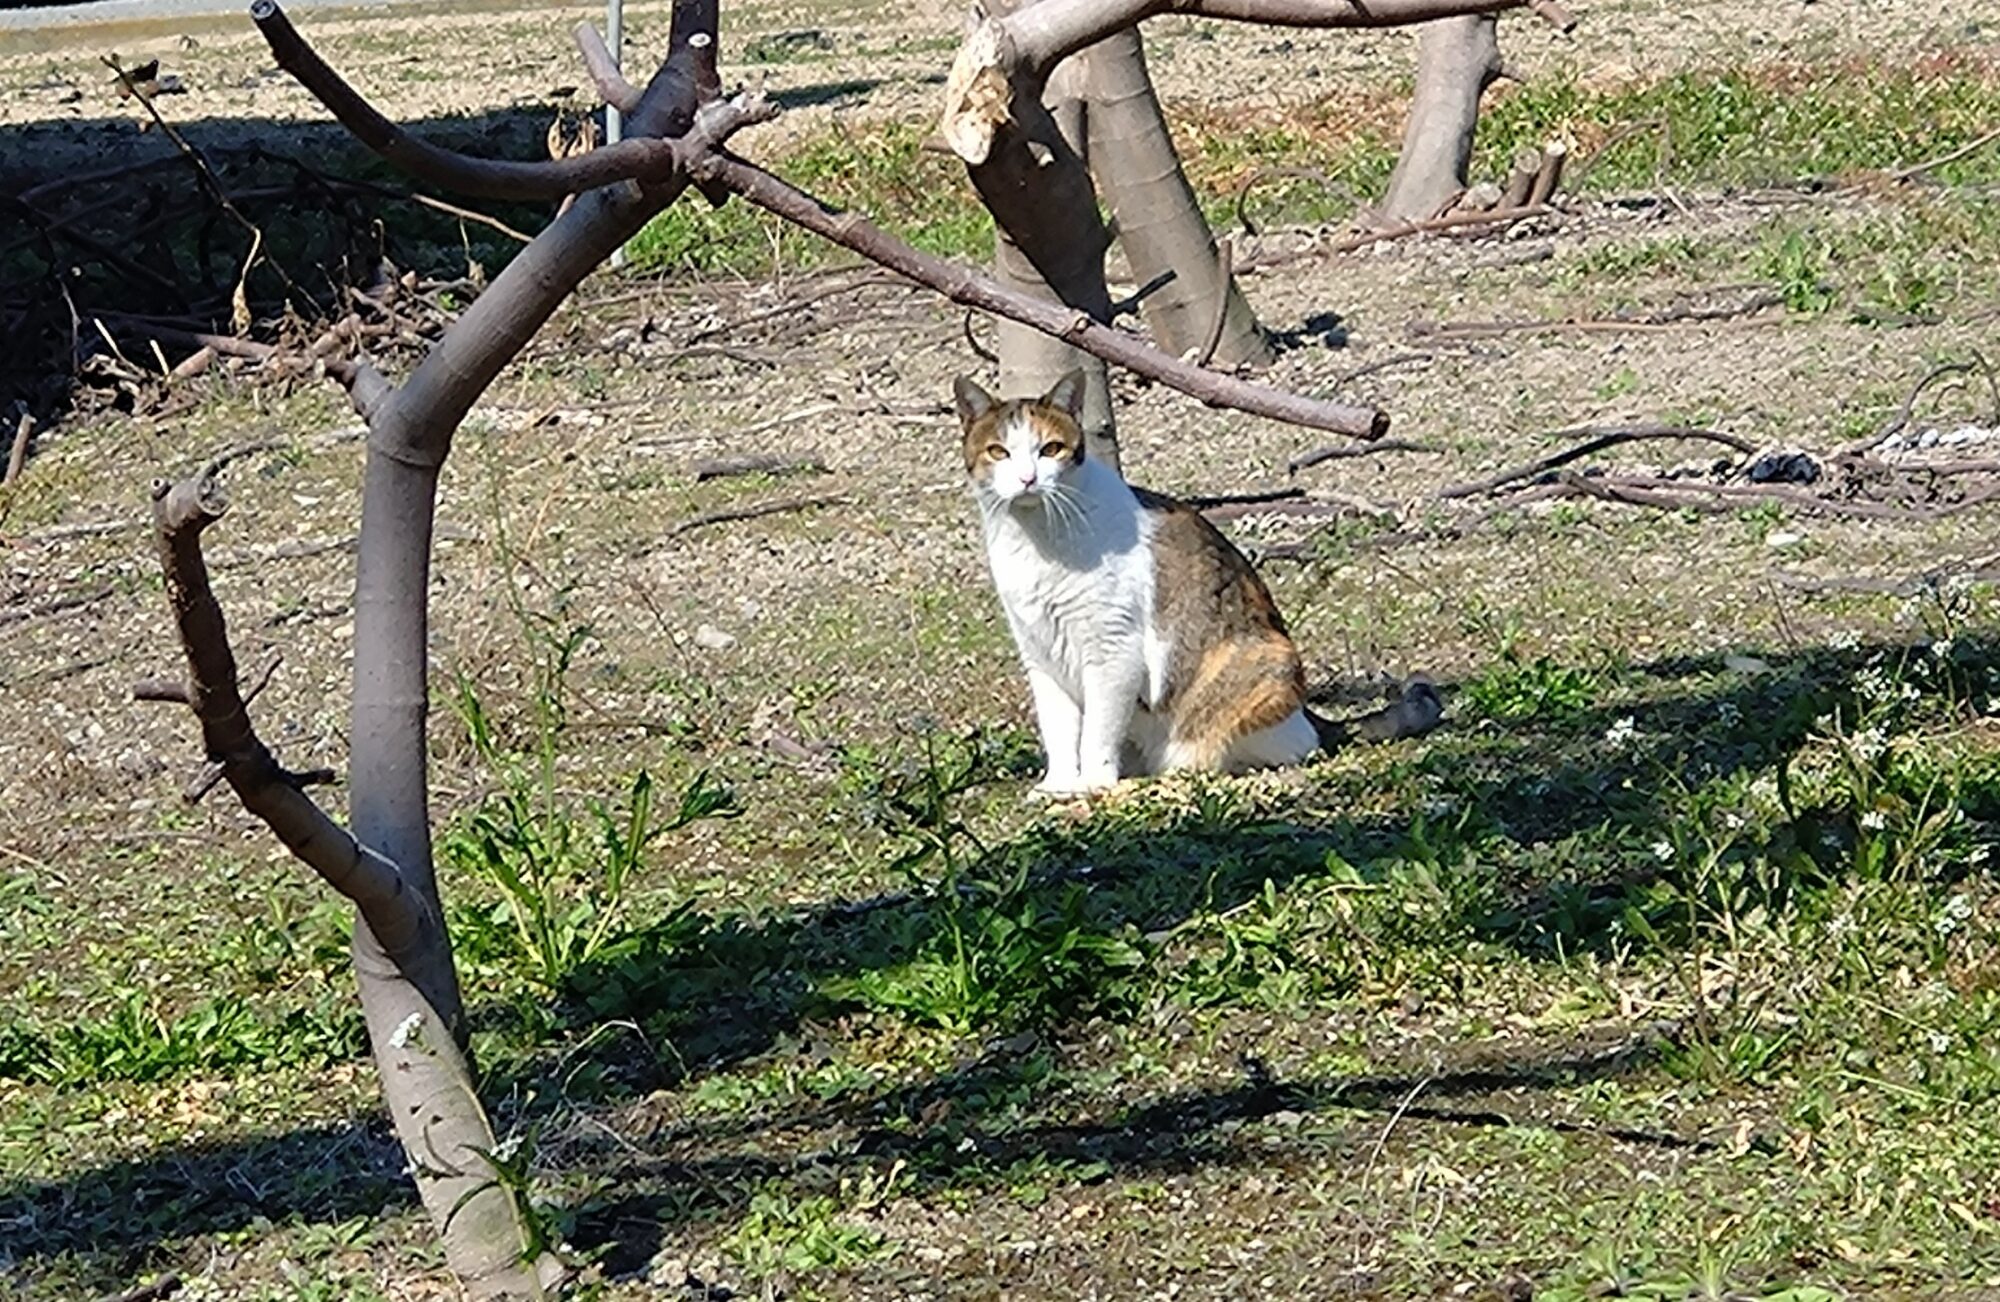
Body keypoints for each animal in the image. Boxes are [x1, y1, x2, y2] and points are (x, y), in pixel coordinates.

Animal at [952, 370, 1440, 796]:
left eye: (1050, 448)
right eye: (1000, 452)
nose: (1028, 478)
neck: (1035, 540)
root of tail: (1310, 713)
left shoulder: (1113, 654)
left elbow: (1097, 730)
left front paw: (1091, 782)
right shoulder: (1041, 654)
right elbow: (1059, 730)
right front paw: (1058, 784)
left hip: (1262, 661)